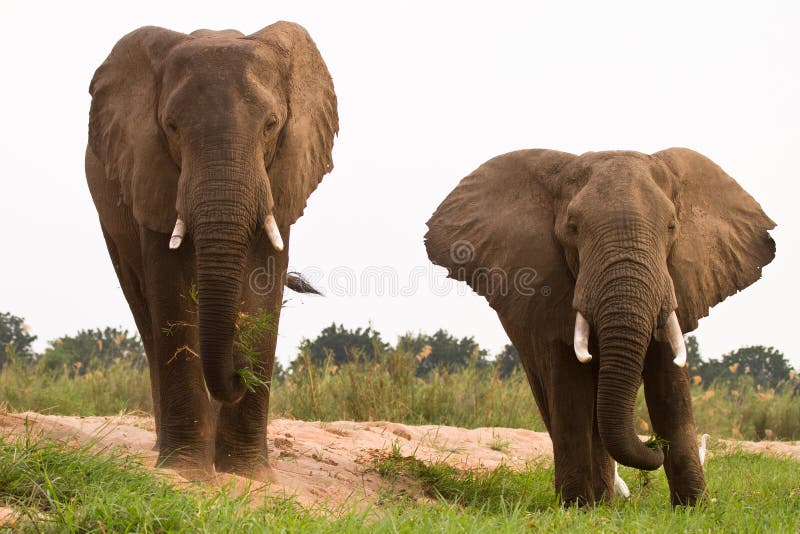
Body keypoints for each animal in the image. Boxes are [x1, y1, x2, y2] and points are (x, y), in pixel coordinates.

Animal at [85, 22, 337, 479]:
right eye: (171, 126)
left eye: (271, 124)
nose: (239, 369)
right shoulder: (150, 172)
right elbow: (170, 293)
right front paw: (187, 471)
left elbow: (263, 287)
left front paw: (246, 474)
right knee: (144, 312)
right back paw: (162, 449)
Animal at [425, 148, 775, 506]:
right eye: (573, 227)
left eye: (671, 226)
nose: (654, 445)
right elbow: (570, 391)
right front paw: (575, 508)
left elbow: (670, 391)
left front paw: (694, 508)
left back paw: (606, 501)